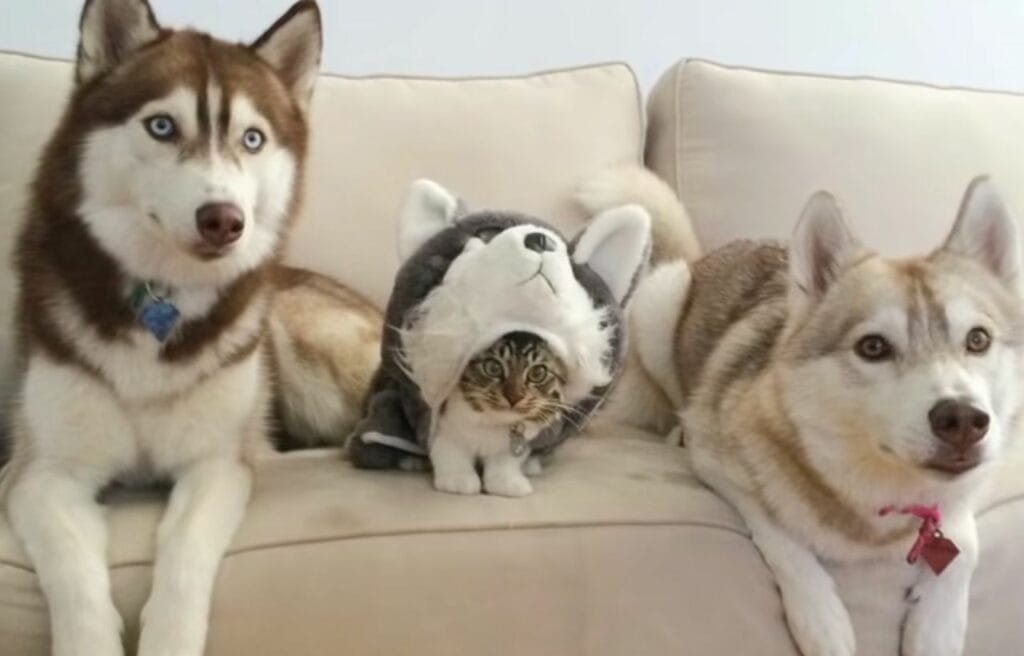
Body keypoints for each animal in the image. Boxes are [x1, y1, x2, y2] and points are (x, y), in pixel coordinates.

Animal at [0, 1, 382, 655]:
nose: (223, 220)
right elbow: (75, 579)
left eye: (252, 139)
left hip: (300, 334)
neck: (162, 296)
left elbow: (183, 556)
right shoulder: (42, 474)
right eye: (162, 127)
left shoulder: (216, 464)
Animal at [430, 331, 568, 497]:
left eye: (537, 372)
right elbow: (450, 450)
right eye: (493, 367)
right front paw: (458, 479)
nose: (514, 397)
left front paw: (506, 482)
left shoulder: (517, 442)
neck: (491, 422)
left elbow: (505, 461)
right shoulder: (446, 427)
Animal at [586, 171, 1023, 656]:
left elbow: (963, 543)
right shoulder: (719, 462)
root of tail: (709, 254)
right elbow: (784, 536)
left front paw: (937, 625)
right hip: (658, 304)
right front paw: (823, 619)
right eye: (873, 347)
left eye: (978, 340)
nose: (964, 420)